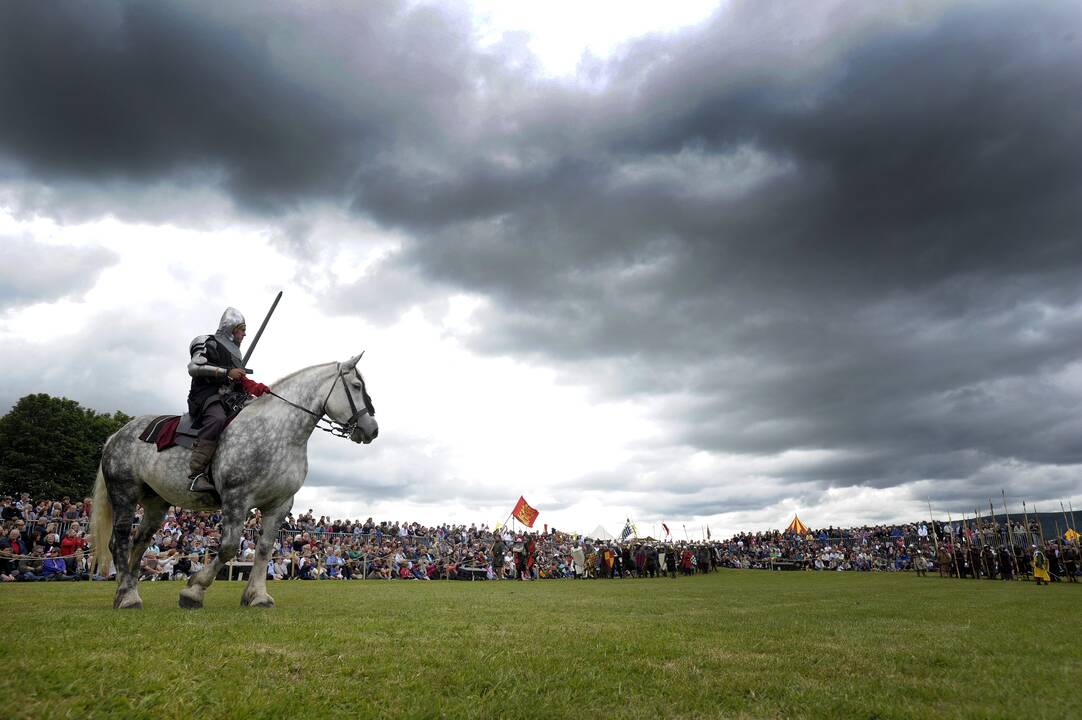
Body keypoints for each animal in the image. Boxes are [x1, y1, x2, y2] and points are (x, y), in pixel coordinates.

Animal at [93, 352, 380, 606]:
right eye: (356, 386)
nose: (372, 429)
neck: (278, 433)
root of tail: (117, 434)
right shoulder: (236, 499)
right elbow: (229, 548)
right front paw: (194, 589)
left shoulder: (279, 504)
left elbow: (265, 549)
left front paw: (257, 595)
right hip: (124, 493)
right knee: (120, 539)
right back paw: (127, 595)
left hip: (156, 503)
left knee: (139, 542)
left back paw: (127, 590)